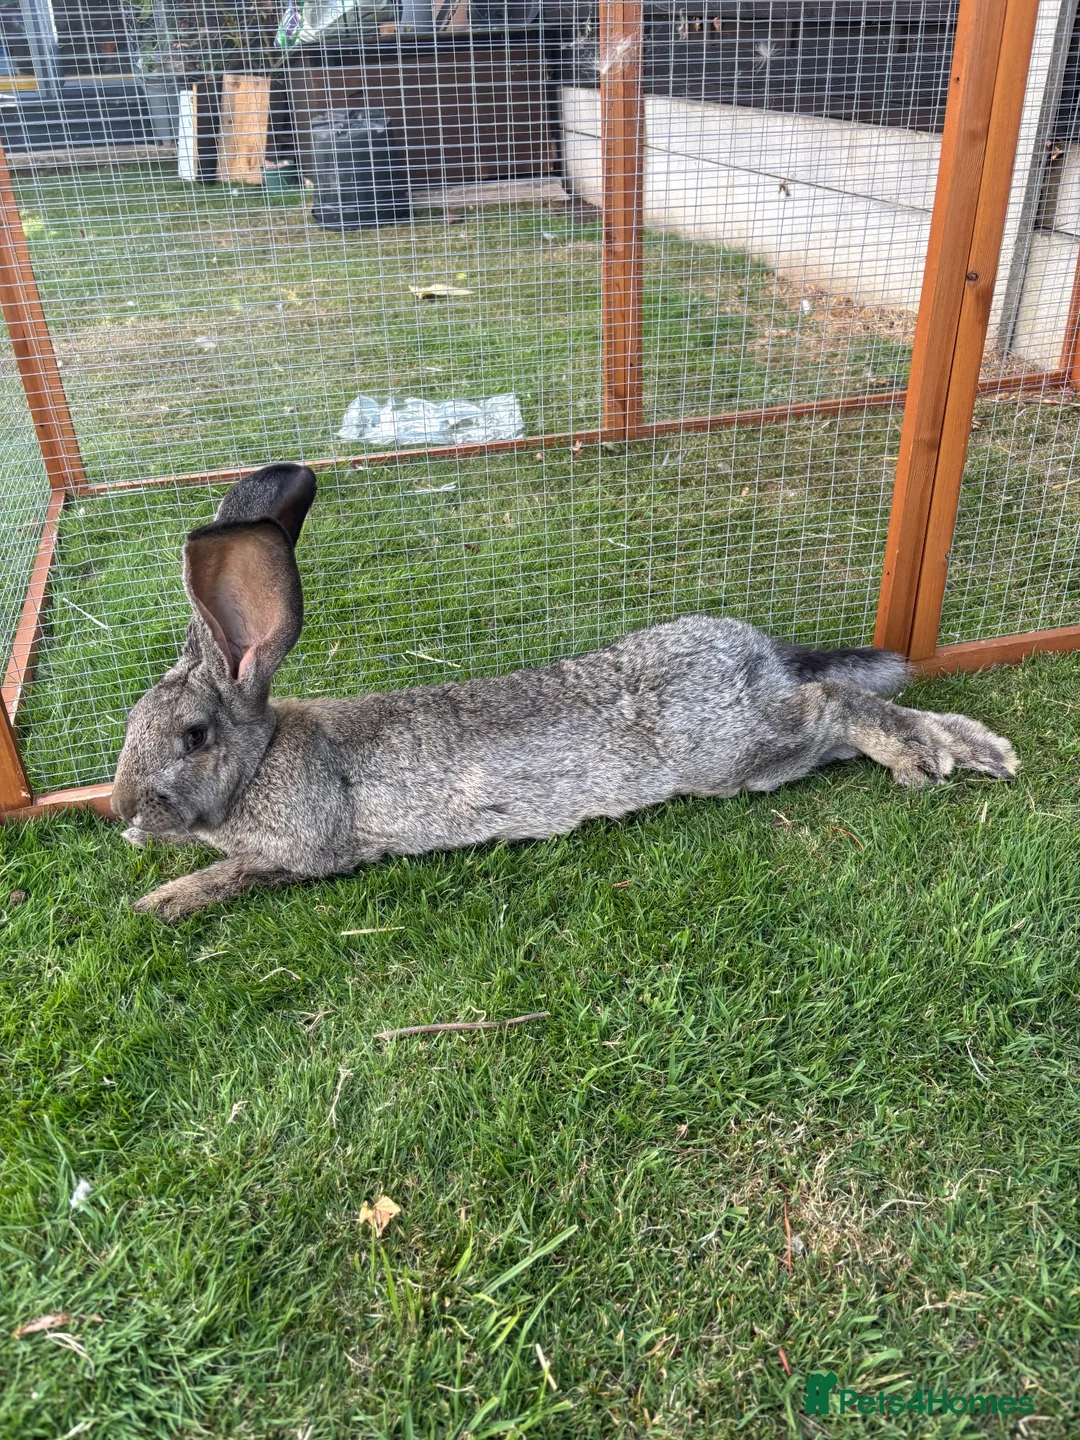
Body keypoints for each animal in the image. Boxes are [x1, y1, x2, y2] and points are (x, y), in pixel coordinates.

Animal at [111, 463, 1019, 920]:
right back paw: (971, 747)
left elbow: (236, 875)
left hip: (737, 749)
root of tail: (756, 650)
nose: (121, 808)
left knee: (831, 705)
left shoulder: (306, 852)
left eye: (193, 736)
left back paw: (923, 757)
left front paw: (156, 901)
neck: (261, 759)